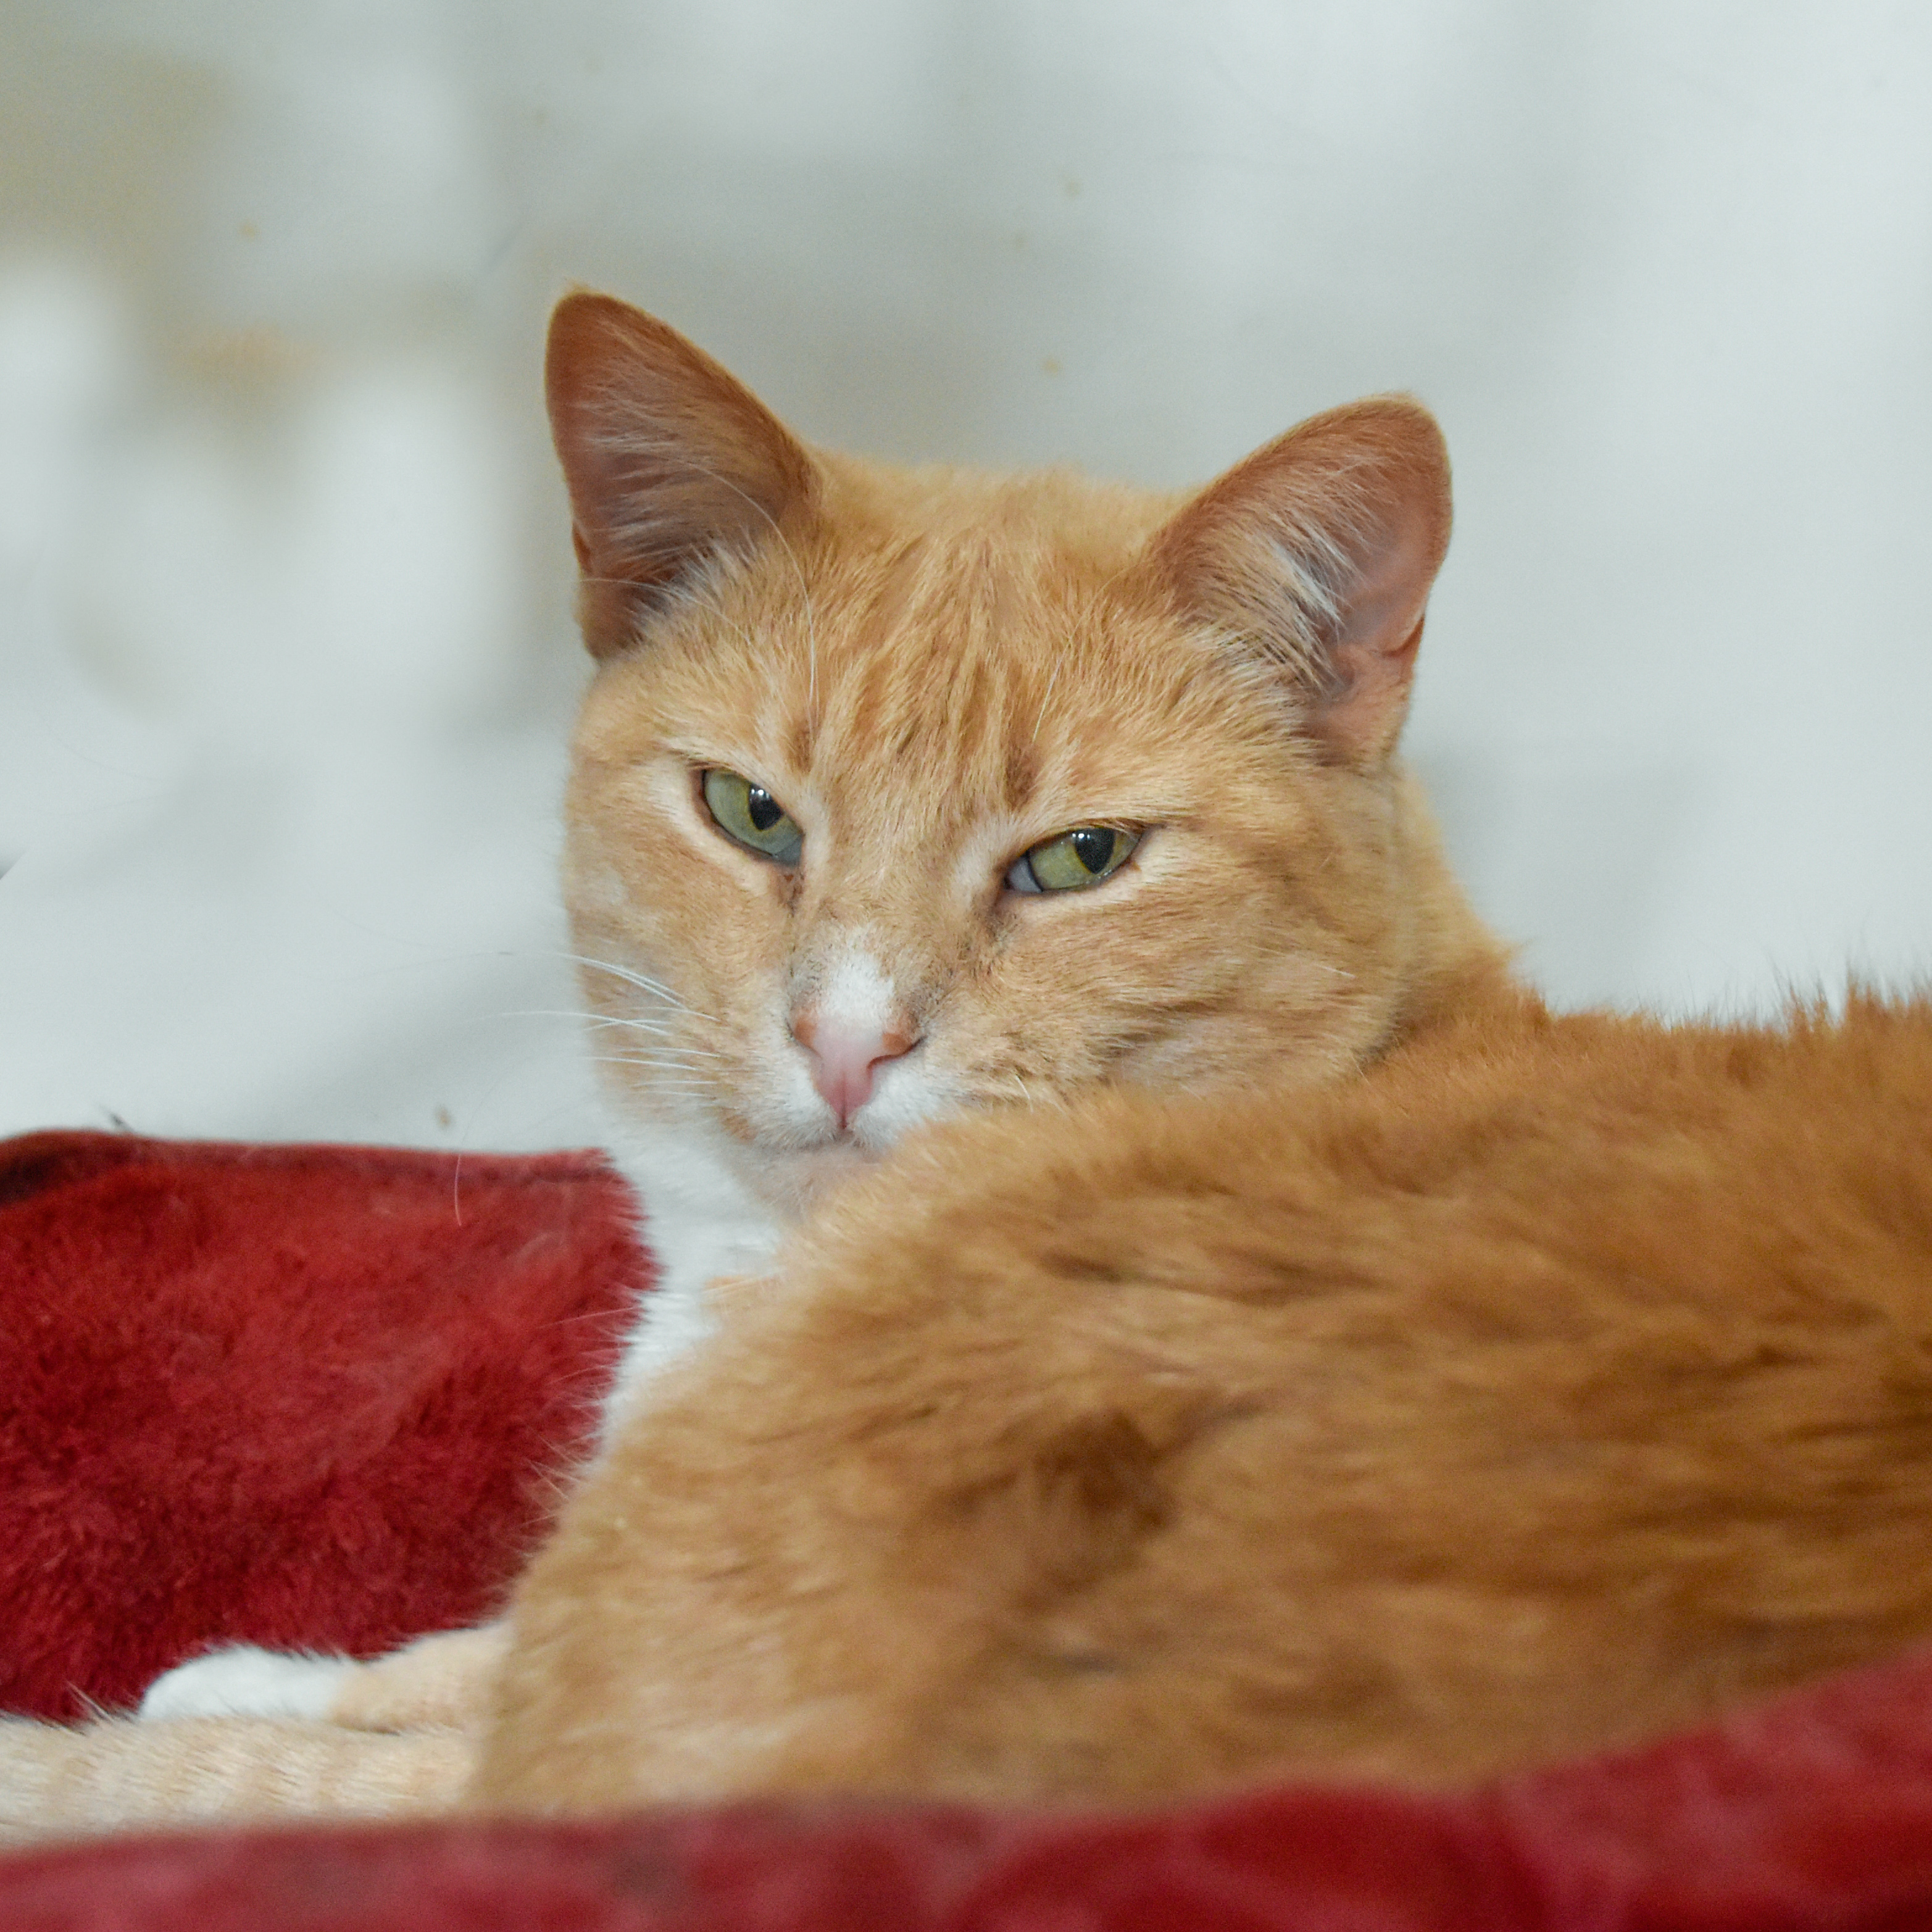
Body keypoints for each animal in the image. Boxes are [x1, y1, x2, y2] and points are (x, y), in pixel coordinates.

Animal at [7, 289, 1924, 1839]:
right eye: (751, 815)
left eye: (1078, 860)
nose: (847, 1041)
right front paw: (285, 1666)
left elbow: (311, 1755)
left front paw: (228, 1691)